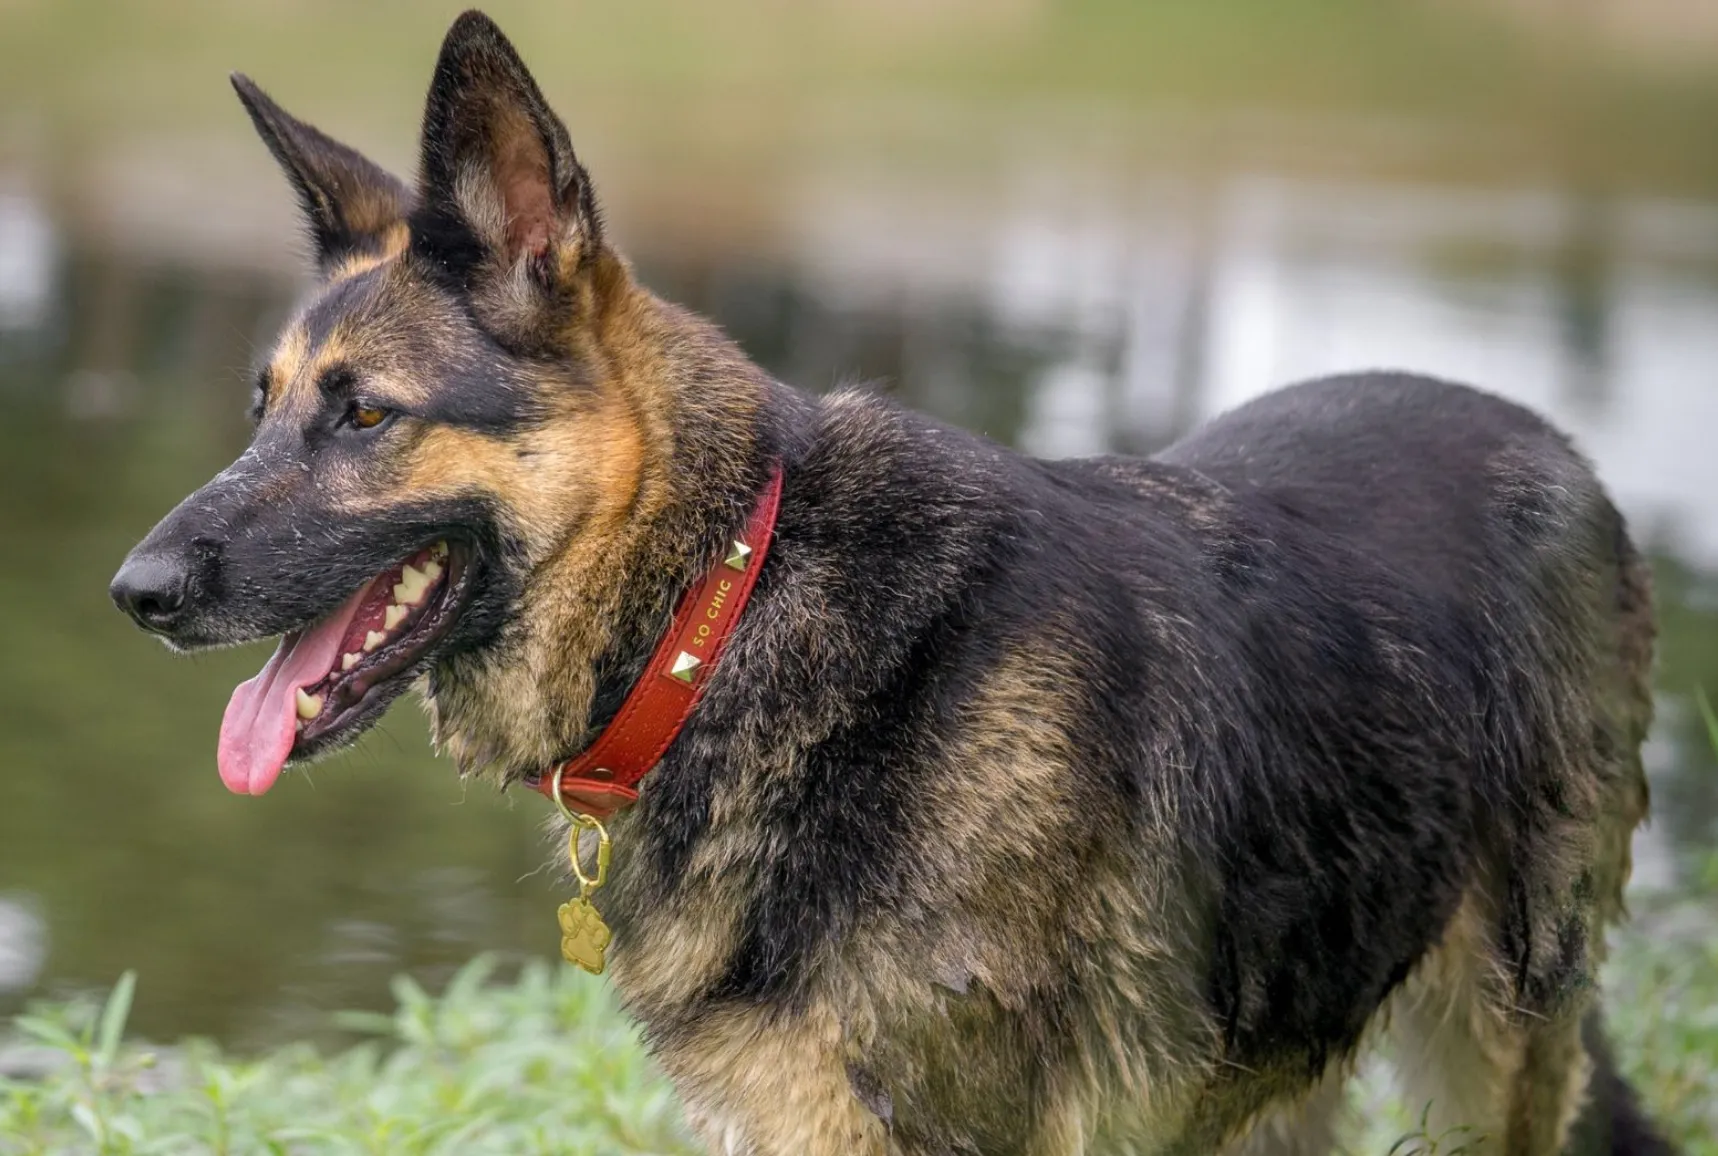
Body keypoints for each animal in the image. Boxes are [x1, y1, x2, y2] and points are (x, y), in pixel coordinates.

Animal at [103, 11, 1663, 1154]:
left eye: (366, 415)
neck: (723, 606)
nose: (133, 592)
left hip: (1493, 1050)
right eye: (260, 406)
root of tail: (1546, 439)